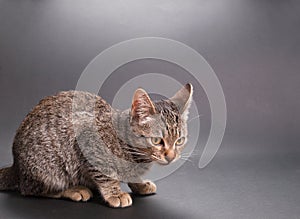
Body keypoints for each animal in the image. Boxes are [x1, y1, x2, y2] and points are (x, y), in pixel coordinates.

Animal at [0, 83, 192, 208]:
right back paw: (73, 190)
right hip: (48, 167)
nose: (171, 156)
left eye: (179, 141)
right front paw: (115, 193)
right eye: (157, 141)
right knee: (30, 189)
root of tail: (16, 167)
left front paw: (139, 184)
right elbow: (106, 175)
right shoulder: (87, 139)